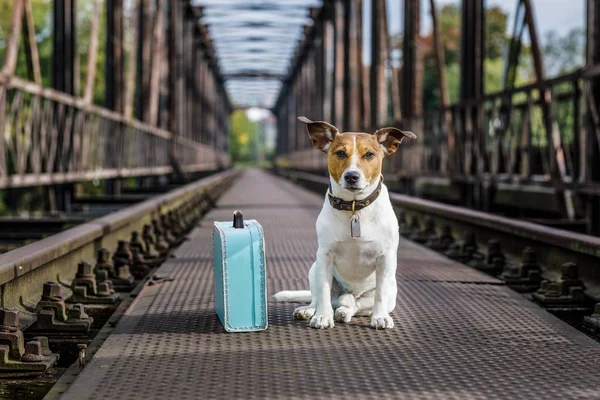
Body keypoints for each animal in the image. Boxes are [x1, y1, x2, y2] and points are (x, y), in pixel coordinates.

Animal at [274, 115, 418, 328]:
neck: (354, 208)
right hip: (314, 268)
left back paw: (344, 311)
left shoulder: (386, 258)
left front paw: (380, 317)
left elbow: (380, 294)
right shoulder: (325, 255)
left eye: (369, 154)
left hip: (388, 291)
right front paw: (322, 316)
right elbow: (324, 292)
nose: (352, 176)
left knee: (356, 305)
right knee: (319, 298)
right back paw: (310, 310)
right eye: (340, 153)